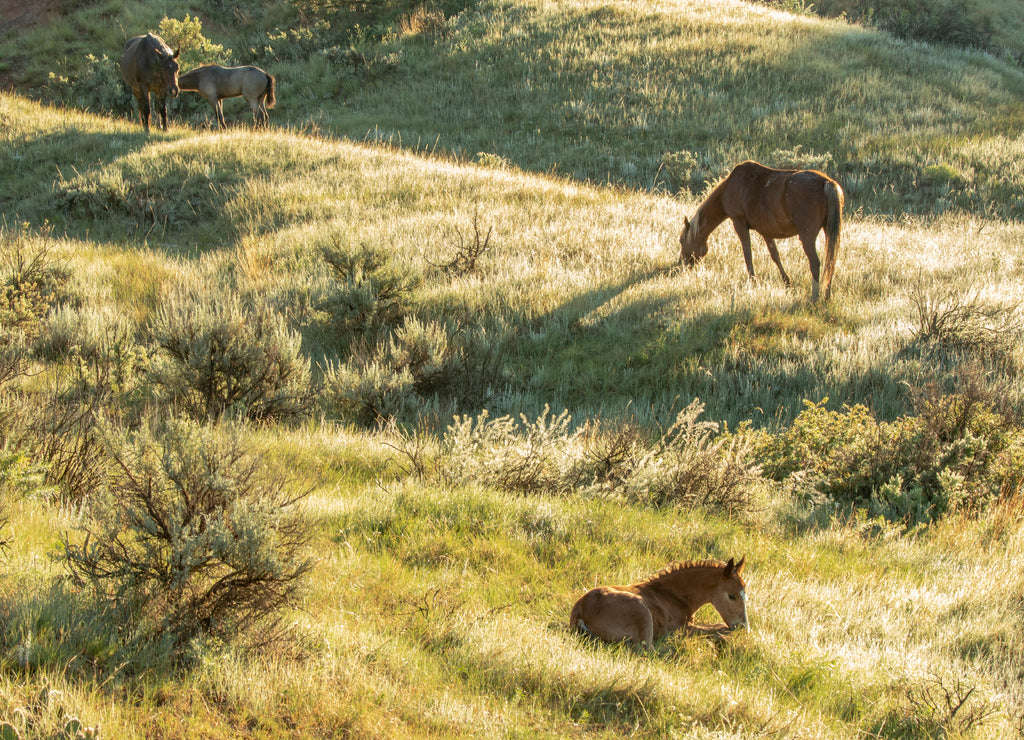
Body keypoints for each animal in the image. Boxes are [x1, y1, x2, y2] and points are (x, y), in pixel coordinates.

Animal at [569, 556, 745, 646]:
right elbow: (719, 628)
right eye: (732, 596)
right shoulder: (682, 628)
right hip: (641, 610)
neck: (672, 595)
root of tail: (580, 609)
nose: (743, 626)